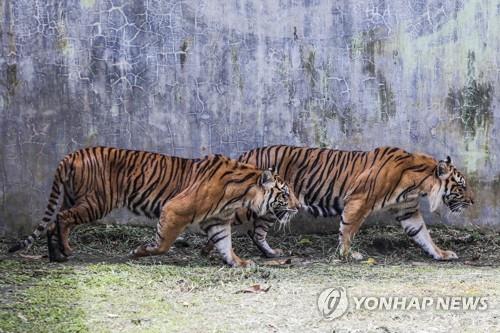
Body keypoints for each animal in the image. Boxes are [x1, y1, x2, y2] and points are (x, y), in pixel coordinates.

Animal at [7, 147, 298, 266]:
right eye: (285, 193)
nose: (297, 207)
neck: (242, 193)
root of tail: (72, 154)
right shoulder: (175, 208)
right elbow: (163, 243)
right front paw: (139, 251)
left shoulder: (217, 221)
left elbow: (225, 244)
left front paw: (238, 263)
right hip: (96, 202)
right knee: (63, 219)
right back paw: (66, 250)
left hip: (75, 198)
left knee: (52, 222)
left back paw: (56, 255)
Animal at [230, 145, 472, 260]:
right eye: (461, 186)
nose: (472, 201)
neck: (418, 183)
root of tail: (243, 156)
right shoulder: (359, 201)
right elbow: (348, 230)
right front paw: (347, 254)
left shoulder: (408, 211)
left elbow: (423, 235)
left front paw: (441, 254)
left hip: (273, 208)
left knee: (256, 233)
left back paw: (271, 253)